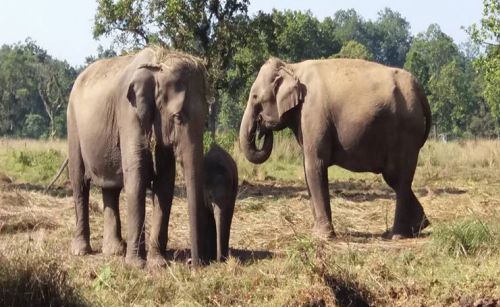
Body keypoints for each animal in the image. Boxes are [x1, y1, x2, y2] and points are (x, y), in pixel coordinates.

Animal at [66, 47, 209, 268]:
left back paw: (114, 251)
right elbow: (137, 177)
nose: (194, 263)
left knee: (111, 188)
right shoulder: (129, 113)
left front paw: (158, 263)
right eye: (178, 117)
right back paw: (81, 251)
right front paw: (136, 264)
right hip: (73, 124)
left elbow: (164, 183)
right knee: (79, 182)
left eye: (206, 121)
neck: (157, 66)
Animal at [238, 58, 430, 241]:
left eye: (255, 97)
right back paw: (419, 226)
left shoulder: (313, 113)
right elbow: (307, 170)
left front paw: (322, 236)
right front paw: (316, 232)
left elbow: (315, 165)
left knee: (400, 178)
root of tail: (419, 90)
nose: (262, 128)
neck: (292, 67)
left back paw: (398, 235)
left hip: (406, 132)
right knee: (394, 178)